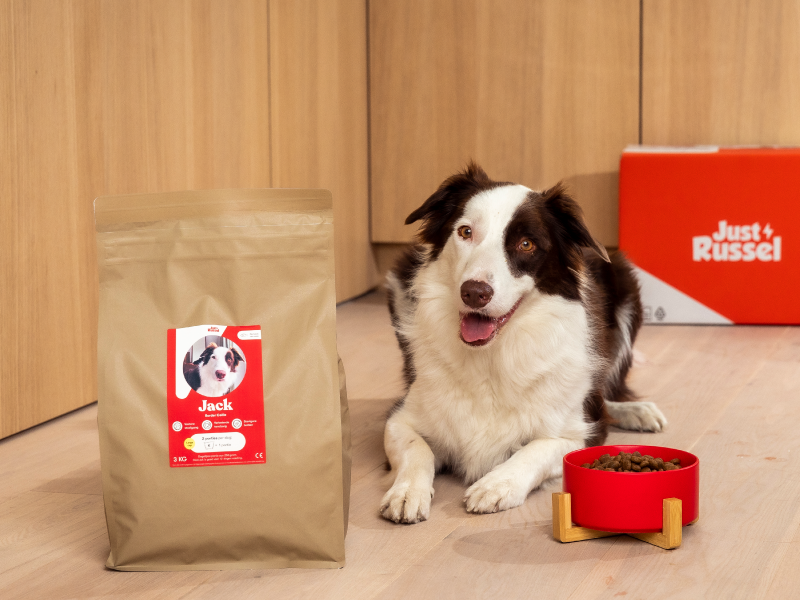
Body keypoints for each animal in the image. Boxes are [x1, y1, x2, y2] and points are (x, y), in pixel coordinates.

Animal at [382, 162, 668, 524]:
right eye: (465, 232)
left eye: (527, 244)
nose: (474, 292)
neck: (492, 355)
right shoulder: (400, 417)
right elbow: (415, 447)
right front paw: (407, 492)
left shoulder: (581, 433)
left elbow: (537, 448)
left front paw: (498, 483)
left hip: (624, 280)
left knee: (604, 394)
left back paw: (636, 411)